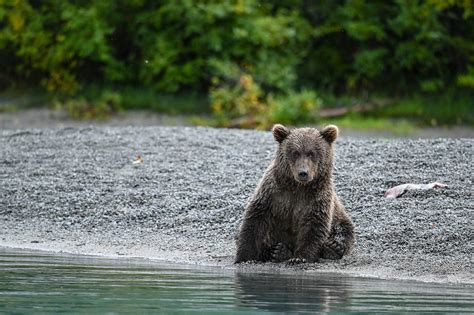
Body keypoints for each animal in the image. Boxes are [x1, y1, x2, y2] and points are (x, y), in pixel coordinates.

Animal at [235, 123, 354, 264]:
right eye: (295, 153)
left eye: (311, 153)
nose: (303, 173)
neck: (298, 187)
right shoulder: (272, 193)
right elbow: (255, 220)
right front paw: (244, 257)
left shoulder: (317, 198)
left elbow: (313, 226)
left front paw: (300, 257)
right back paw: (278, 251)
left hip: (339, 216)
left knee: (344, 230)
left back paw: (334, 247)